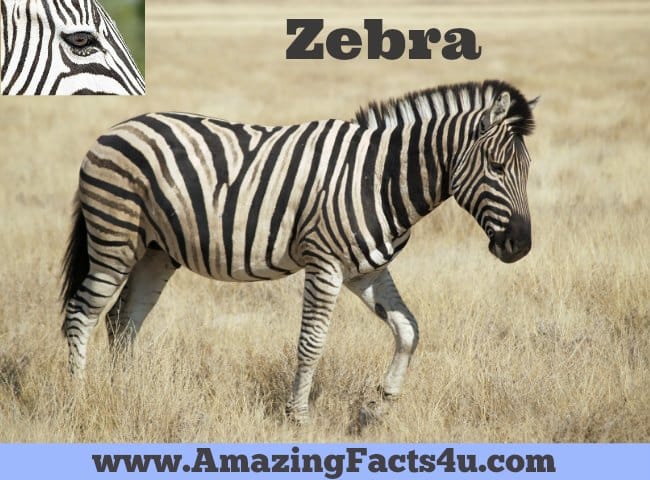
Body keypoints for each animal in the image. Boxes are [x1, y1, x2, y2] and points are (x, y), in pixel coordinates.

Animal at [60, 80, 537, 422]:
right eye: (496, 168)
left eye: (528, 170)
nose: (521, 247)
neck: (380, 178)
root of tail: (116, 129)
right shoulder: (324, 263)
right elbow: (312, 343)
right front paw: (298, 417)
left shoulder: (366, 270)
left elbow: (408, 329)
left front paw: (381, 405)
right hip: (115, 239)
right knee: (82, 314)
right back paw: (80, 399)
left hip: (156, 251)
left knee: (123, 321)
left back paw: (126, 393)